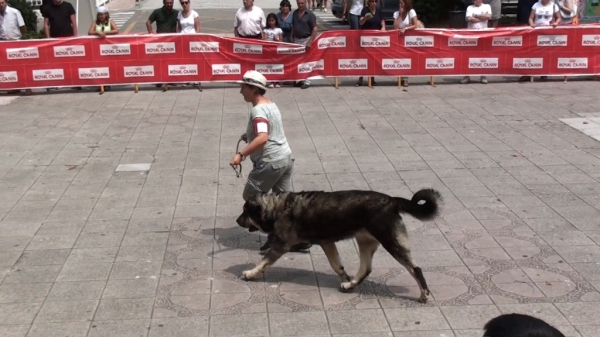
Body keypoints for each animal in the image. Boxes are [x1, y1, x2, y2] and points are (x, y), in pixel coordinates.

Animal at [236, 188, 440, 300]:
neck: (277, 207)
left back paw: (424, 294)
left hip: (391, 242)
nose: (237, 221)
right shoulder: (327, 243)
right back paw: (351, 285)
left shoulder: (281, 245)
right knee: (365, 269)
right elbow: (337, 266)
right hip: (365, 242)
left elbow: (264, 262)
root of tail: (391, 200)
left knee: (415, 268)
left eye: (245, 211)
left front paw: (251, 273)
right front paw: (345, 278)